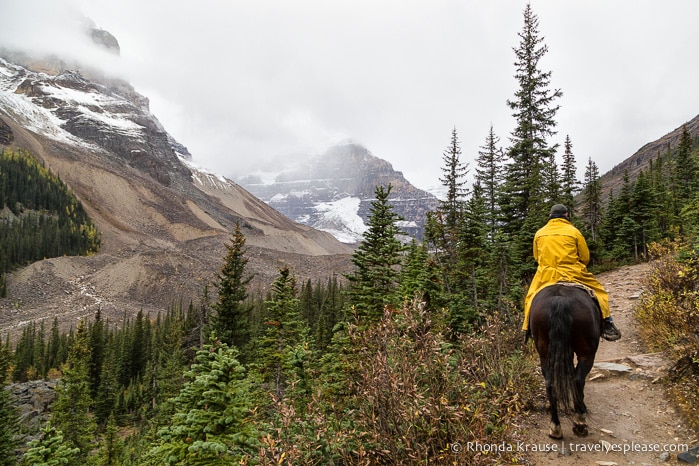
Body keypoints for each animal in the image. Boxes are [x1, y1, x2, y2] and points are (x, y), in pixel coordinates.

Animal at [532, 282, 600, 438]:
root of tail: (560, 301)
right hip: (587, 353)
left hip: (545, 353)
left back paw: (555, 427)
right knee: (578, 379)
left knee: (550, 383)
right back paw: (580, 421)